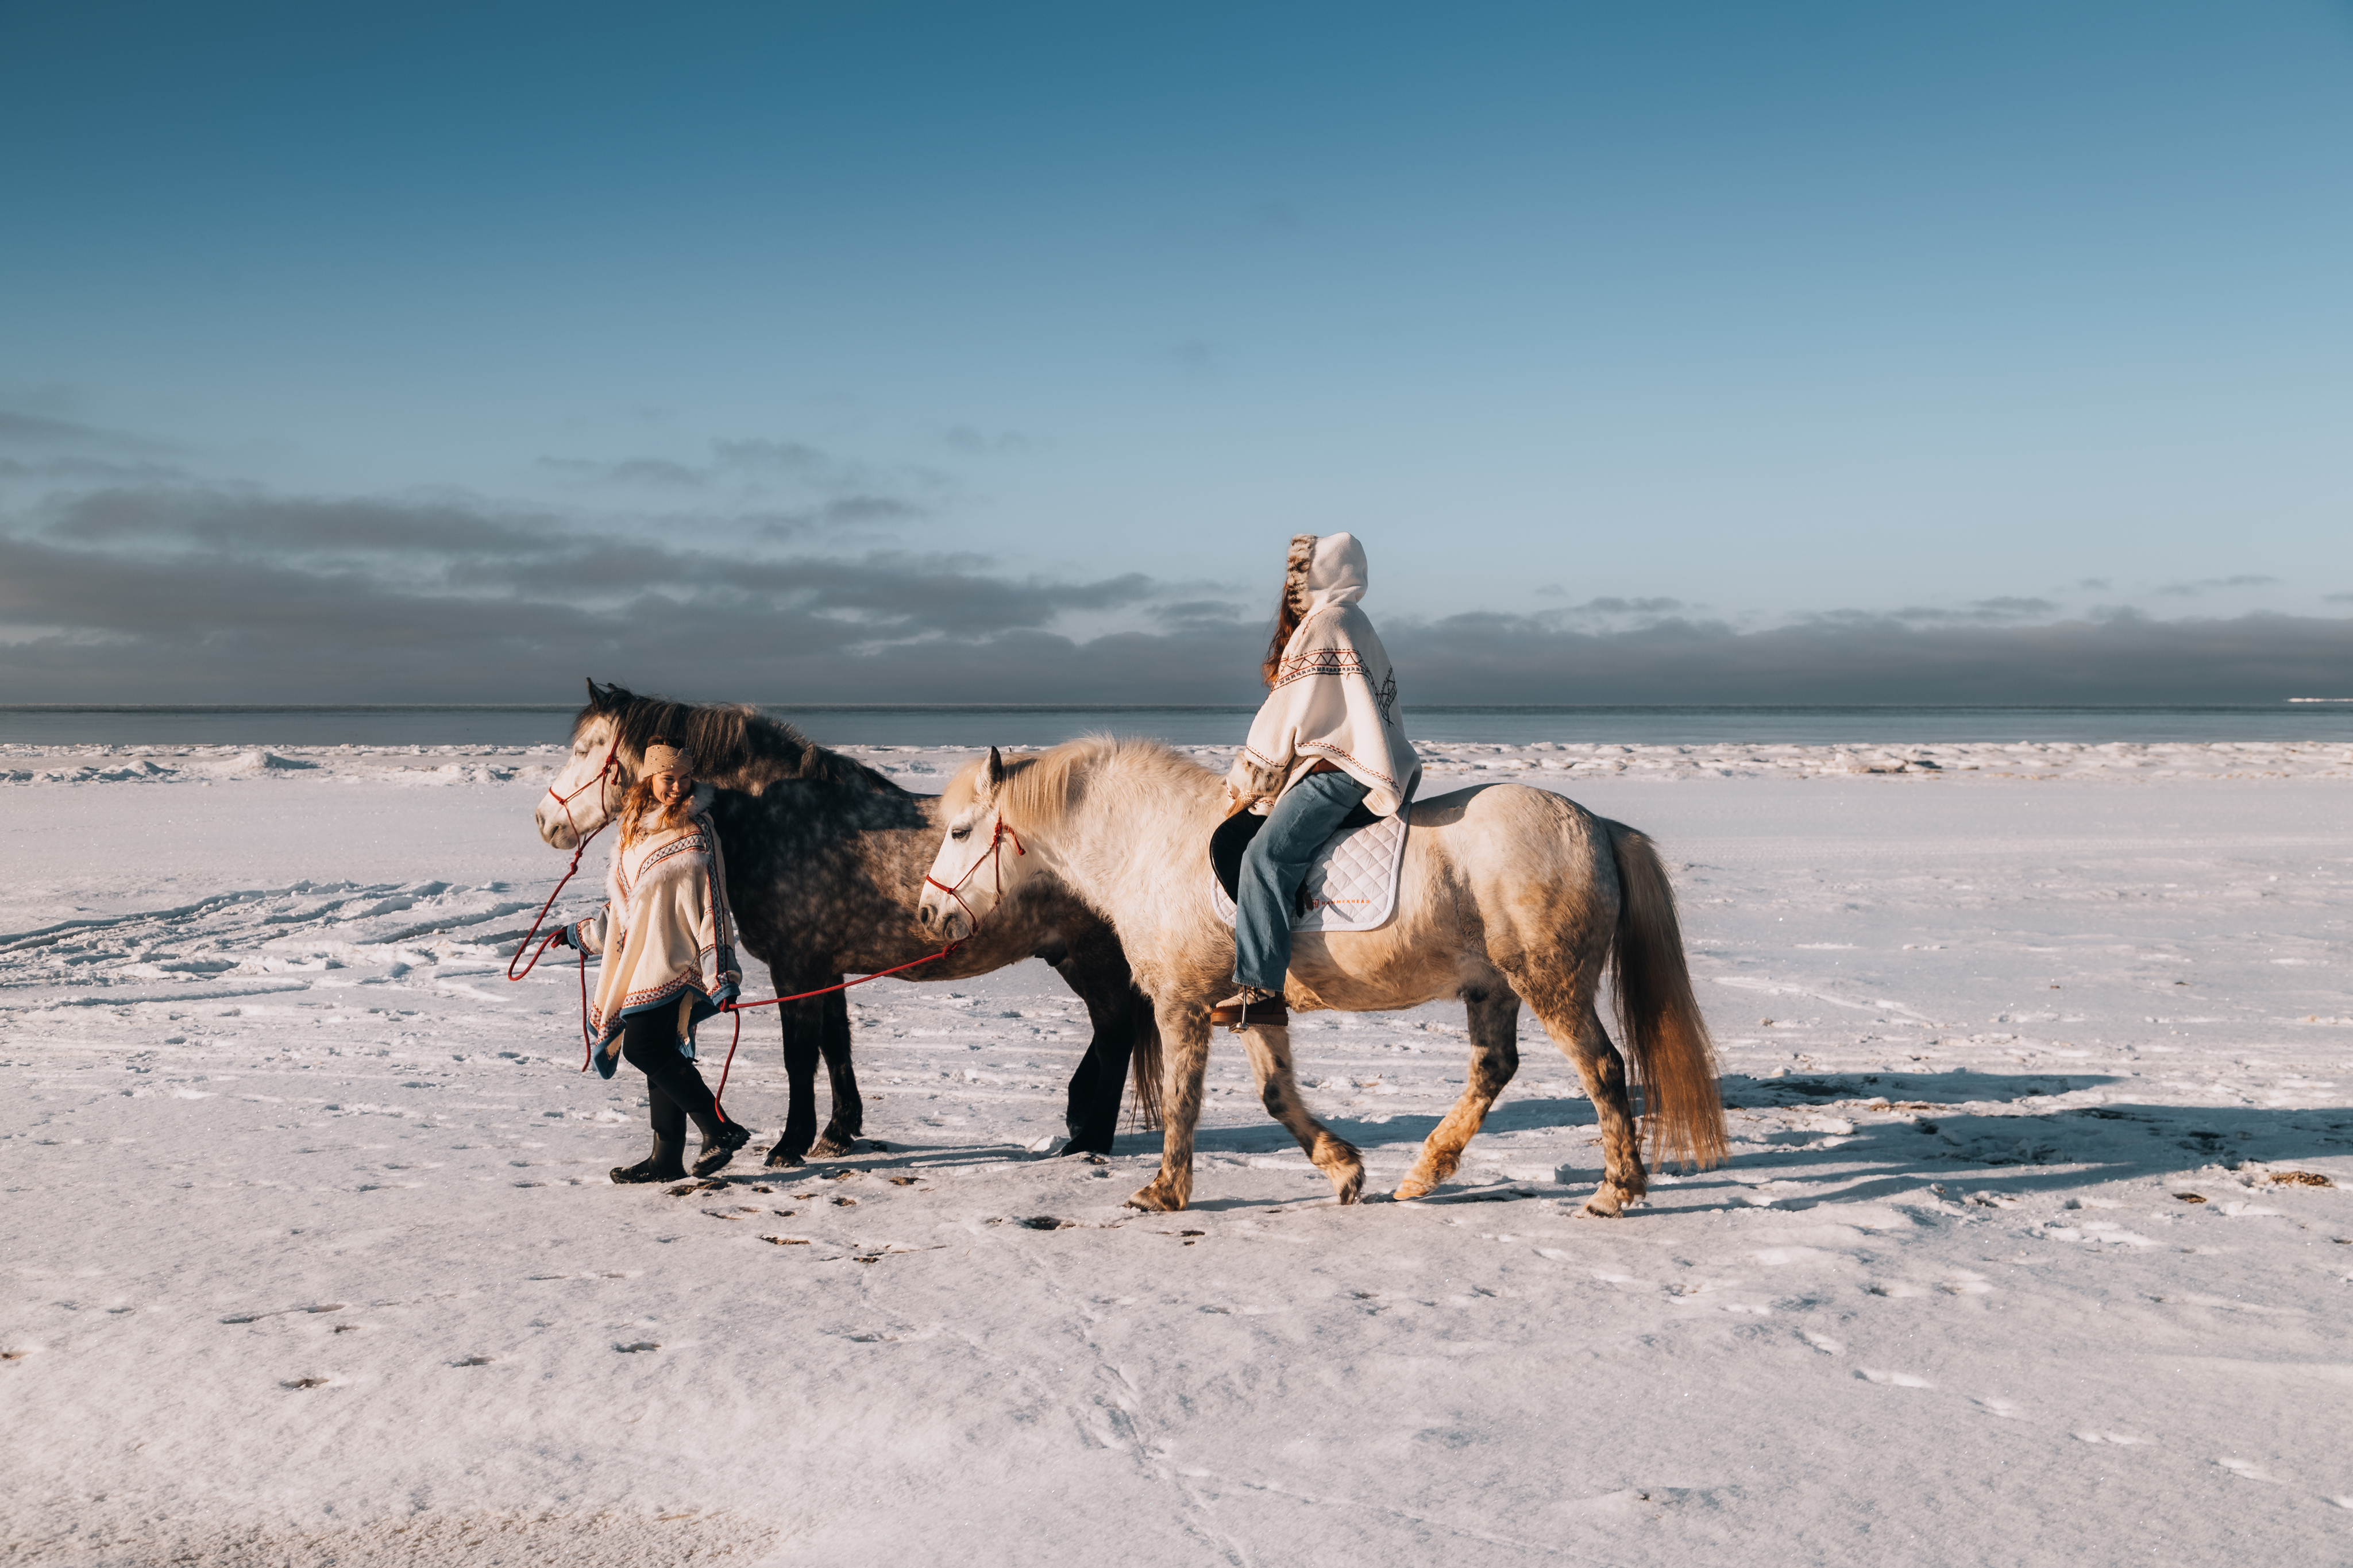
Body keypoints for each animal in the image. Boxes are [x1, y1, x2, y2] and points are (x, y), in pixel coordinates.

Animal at [532, 682, 1162, 1165]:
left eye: (587, 747)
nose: (544, 820)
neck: (781, 819)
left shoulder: (796, 967)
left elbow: (800, 1054)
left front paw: (789, 1143)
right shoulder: (824, 966)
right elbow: (836, 1045)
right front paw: (838, 1132)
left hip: (1092, 955)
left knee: (1115, 1033)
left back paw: (1091, 1140)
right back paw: (1079, 1118)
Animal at [914, 737, 1727, 1213]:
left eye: (960, 831)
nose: (928, 913)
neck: (1153, 844)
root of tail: (1594, 825)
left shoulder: (1182, 1004)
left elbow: (1181, 1103)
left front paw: (1165, 1191)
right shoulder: (1248, 1003)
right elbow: (1277, 1094)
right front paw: (1343, 1170)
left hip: (1549, 983)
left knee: (1602, 1068)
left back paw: (1615, 1190)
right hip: (1493, 989)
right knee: (1495, 1068)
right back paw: (1422, 1175)